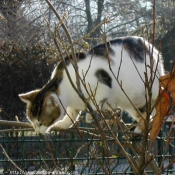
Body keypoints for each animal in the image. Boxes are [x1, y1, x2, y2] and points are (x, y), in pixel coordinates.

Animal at [18, 35, 165, 134]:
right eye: (32, 122)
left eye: (41, 122)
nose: (37, 132)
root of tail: (151, 47)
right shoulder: (72, 104)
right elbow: (71, 114)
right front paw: (63, 124)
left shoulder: (103, 83)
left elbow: (97, 99)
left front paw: (90, 114)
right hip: (134, 104)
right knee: (145, 116)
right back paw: (141, 128)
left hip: (154, 87)